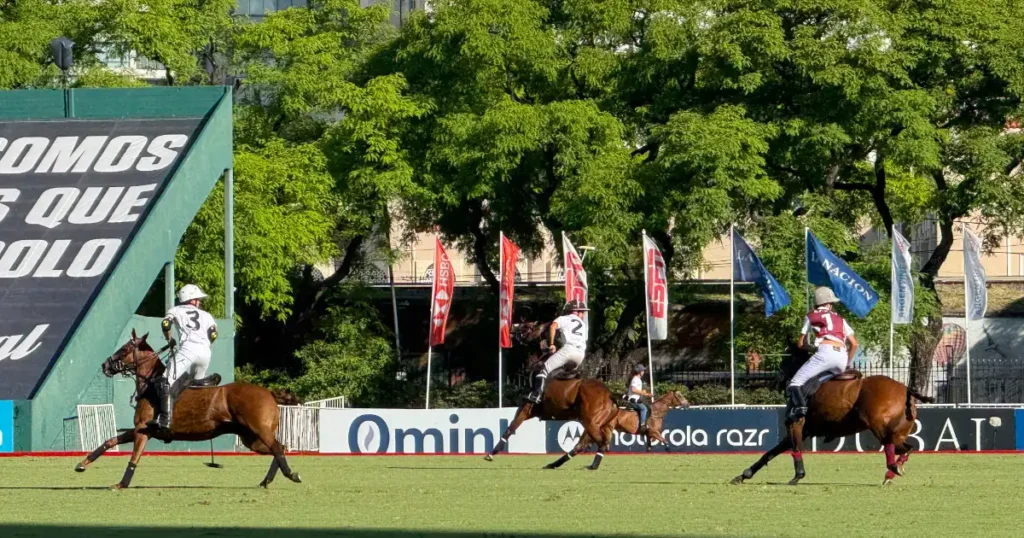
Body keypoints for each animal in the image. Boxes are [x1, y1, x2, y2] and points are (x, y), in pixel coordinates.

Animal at [74, 329, 301, 487]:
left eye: (124, 349)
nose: (105, 365)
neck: (151, 385)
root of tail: (269, 392)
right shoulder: (141, 428)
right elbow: (109, 441)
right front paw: (82, 464)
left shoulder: (142, 431)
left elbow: (133, 458)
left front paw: (121, 484)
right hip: (250, 438)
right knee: (280, 447)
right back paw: (267, 481)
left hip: (258, 429)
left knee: (278, 448)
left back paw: (291, 474)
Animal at [729, 368, 937, 485]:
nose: (772, 382)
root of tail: (906, 389)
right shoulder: (803, 429)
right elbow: (770, 453)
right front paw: (743, 475)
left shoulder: (796, 425)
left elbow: (794, 450)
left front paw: (798, 475)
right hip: (899, 430)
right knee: (908, 448)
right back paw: (891, 473)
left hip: (879, 427)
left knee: (896, 448)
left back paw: (892, 470)